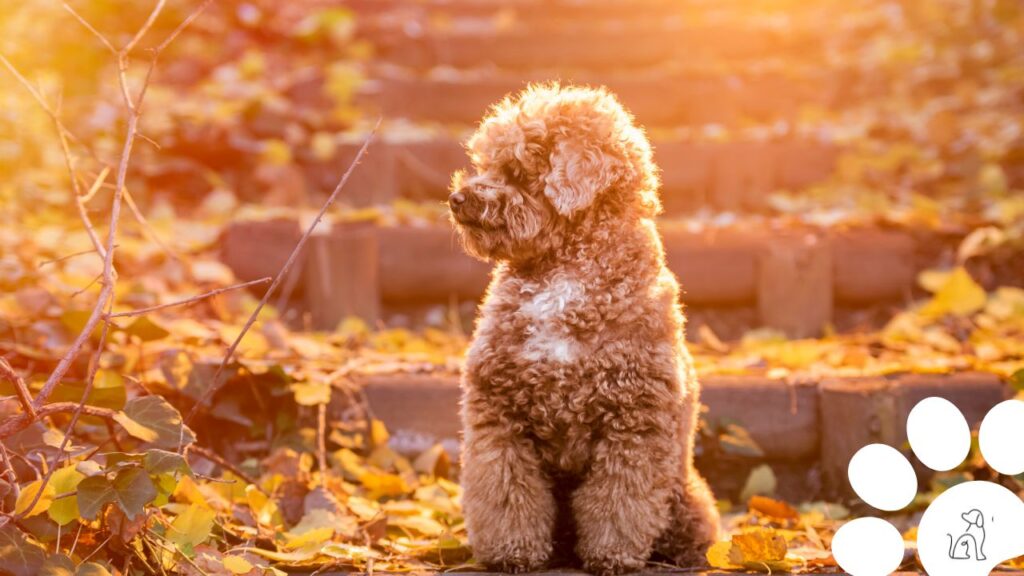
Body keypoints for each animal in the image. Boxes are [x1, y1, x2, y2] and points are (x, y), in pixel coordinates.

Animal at [448, 84, 720, 573]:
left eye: (517, 171)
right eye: (485, 165)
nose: (458, 199)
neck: (565, 273)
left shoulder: (633, 424)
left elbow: (618, 501)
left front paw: (611, 556)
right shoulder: (498, 415)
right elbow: (504, 491)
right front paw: (511, 552)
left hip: (685, 495)